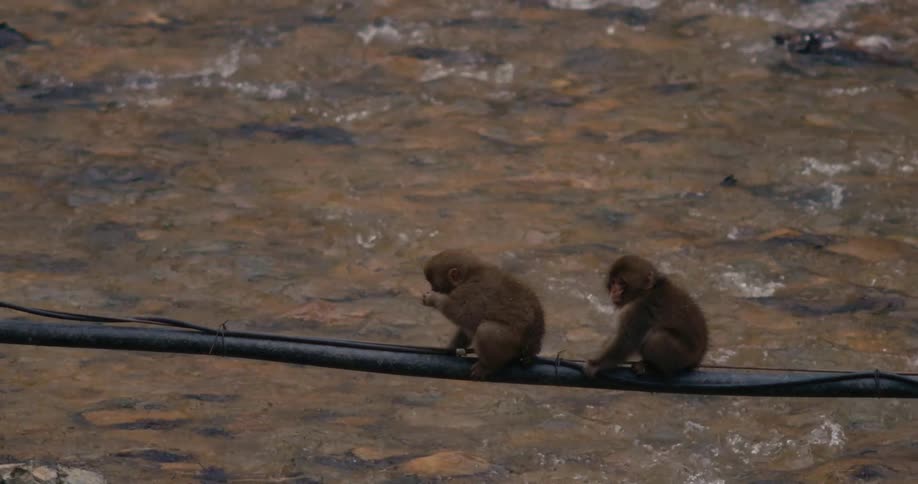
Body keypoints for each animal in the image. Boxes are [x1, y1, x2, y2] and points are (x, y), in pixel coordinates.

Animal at [421, 249, 545, 379]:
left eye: (434, 285)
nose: (432, 289)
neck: (470, 274)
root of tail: (534, 344)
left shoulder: (469, 292)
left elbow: (460, 311)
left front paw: (432, 298)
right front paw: (451, 348)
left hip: (516, 343)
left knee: (486, 330)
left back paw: (488, 366)